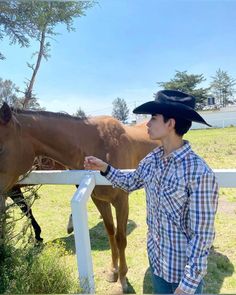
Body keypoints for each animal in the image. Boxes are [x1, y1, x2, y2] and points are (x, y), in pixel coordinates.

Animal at [0, 103, 159, 292]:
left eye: (0, 149)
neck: (98, 143)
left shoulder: (121, 201)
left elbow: (121, 238)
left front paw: (123, 279)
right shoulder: (100, 201)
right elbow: (111, 233)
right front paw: (113, 271)